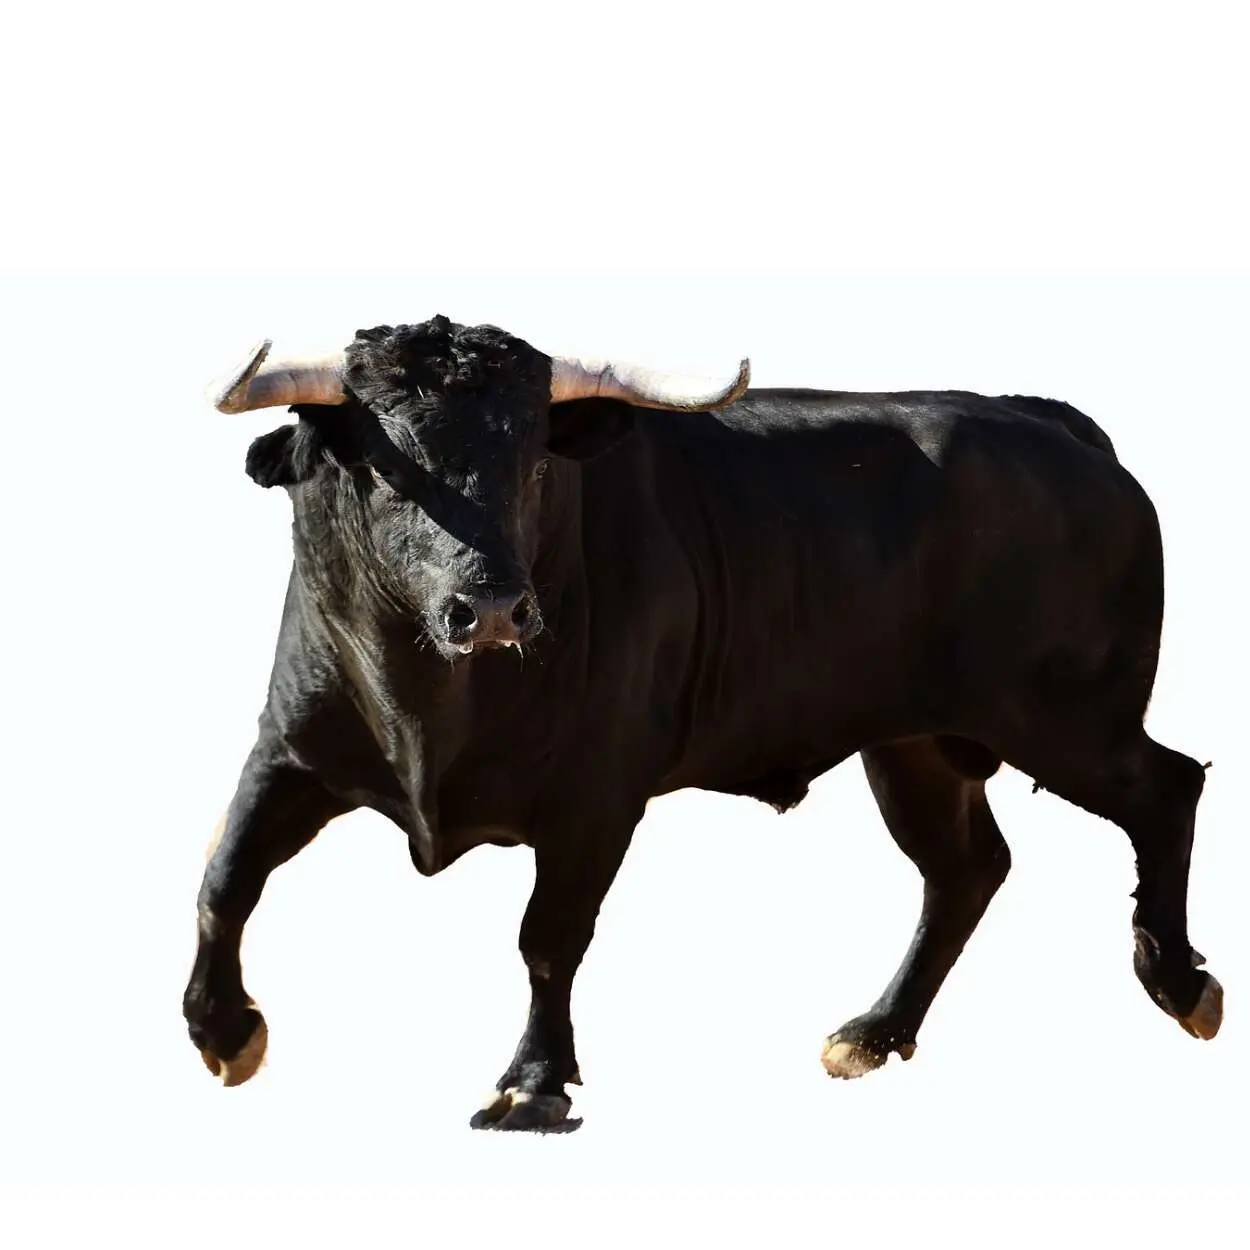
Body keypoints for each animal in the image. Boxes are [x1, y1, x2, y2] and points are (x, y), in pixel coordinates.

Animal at [185, 315, 1223, 1131]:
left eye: (532, 459)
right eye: (380, 464)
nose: (495, 610)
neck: (429, 716)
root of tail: (1047, 421)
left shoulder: (596, 797)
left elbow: (549, 936)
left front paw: (533, 1086)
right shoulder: (288, 751)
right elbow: (223, 882)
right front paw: (223, 1030)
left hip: (1066, 716)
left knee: (1166, 789)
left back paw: (1180, 982)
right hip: (913, 745)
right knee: (967, 868)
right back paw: (875, 1033)